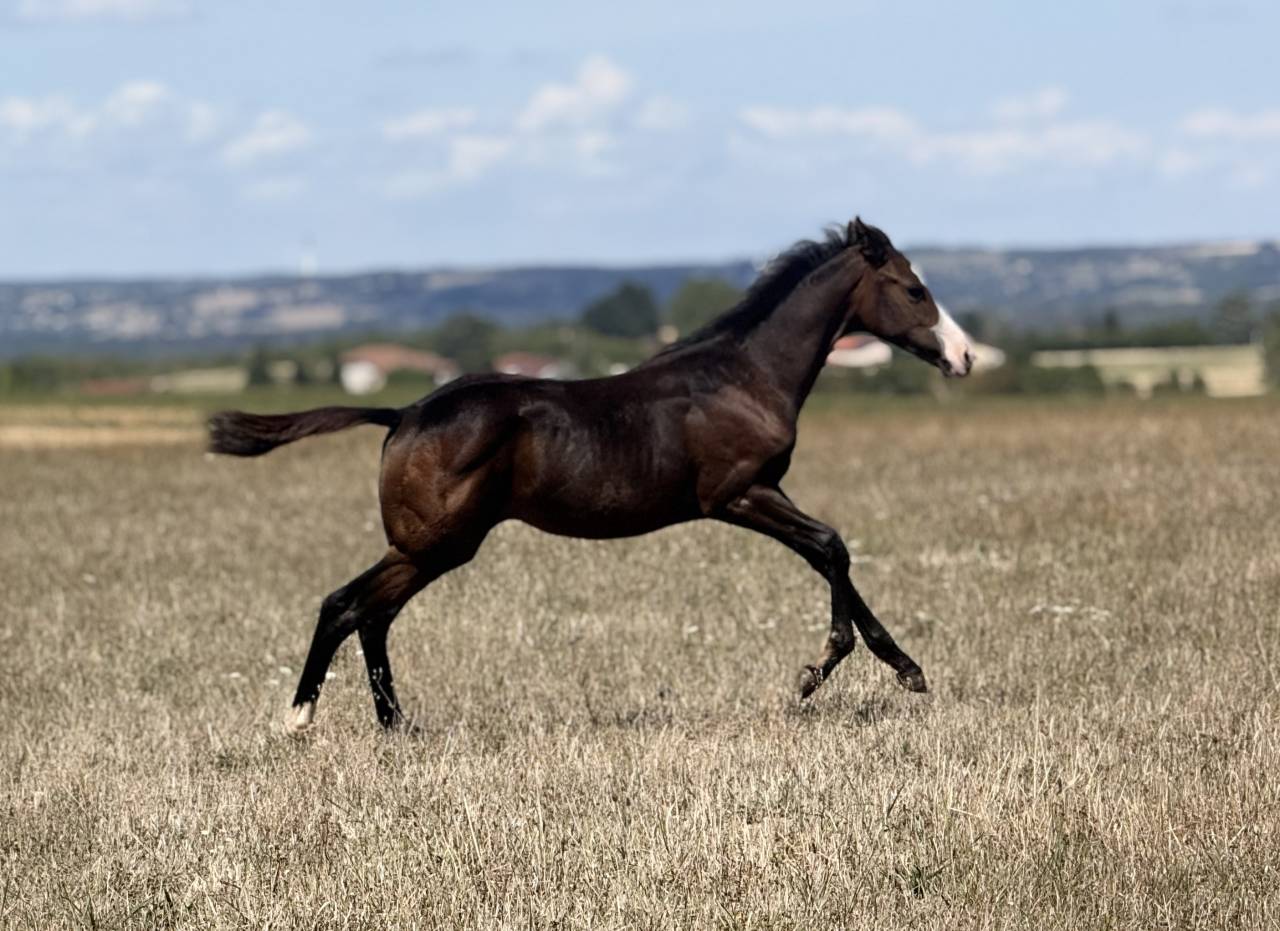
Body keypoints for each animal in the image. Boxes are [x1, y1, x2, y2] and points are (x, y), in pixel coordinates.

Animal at [208, 218, 975, 733]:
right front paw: (820, 670)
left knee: (373, 613)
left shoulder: (763, 492)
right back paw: (301, 718)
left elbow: (830, 553)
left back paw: (397, 726)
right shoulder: (737, 494)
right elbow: (831, 546)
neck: (742, 376)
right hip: (437, 542)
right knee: (346, 604)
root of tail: (404, 413)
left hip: (428, 548)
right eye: (913, 289)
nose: (964, 357)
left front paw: (903, 668)